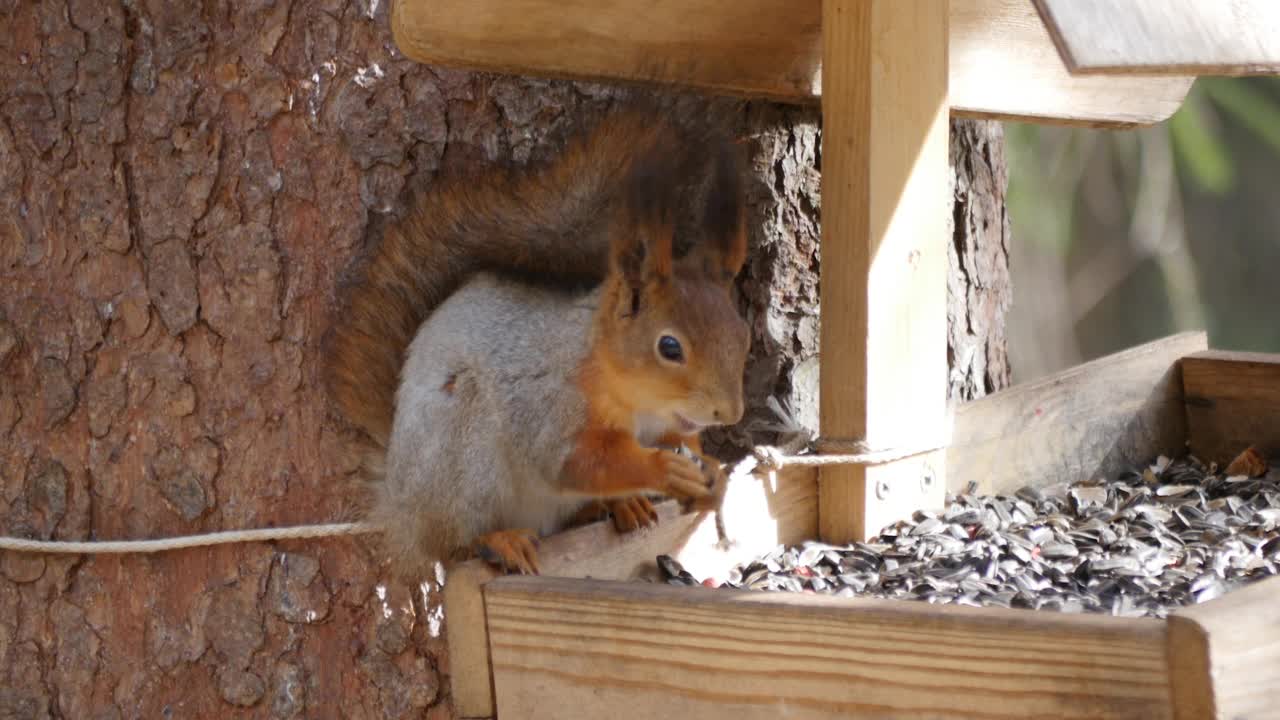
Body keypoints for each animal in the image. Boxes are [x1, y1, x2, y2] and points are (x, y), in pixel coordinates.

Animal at [325, 103, 752, 576]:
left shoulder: (668, 422)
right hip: (462, 456)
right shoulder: (546, 401)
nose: (729, 413)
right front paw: (663, 469)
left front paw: (712, 475)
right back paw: (498, 541)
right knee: (451, 546)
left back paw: (620, 506)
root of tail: (400, 503)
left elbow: (683, 440)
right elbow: (574, 461)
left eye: (743, 335)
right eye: (670, 347)